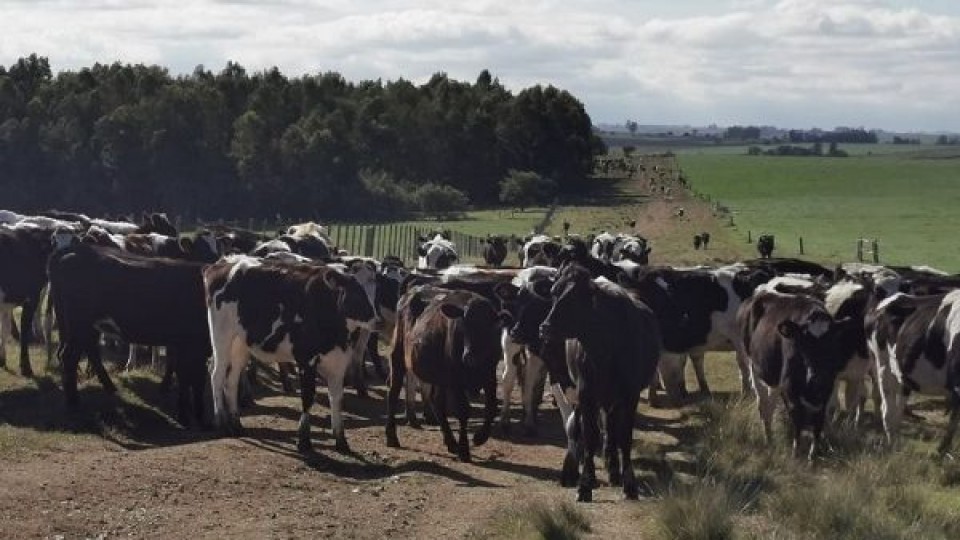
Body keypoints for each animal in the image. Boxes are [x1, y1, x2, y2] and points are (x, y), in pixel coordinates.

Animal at [204, 255, 376, 454]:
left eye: (375, 291)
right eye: (356, 294)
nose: (377, 321)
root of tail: (225, 262)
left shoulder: (339, 361)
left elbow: (336, 398)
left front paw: (341, 441)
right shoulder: (306, 360)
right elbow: (308, 397)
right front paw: (304, 440)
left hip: (240, 343)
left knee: (231, 380)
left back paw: (236, 423)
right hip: (222, 336)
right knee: (217, 375)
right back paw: (221, 421)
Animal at [382, 284, 506, 462]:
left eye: (486, 329)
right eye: (464, 325)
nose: (469, 356)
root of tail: (410, 292)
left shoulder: (489, 375)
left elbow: (491, 407)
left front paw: (479, 437)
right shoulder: (455, 378)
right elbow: (462, 410)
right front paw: (464, 450)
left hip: (439, 375)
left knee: (437, 402)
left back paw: (451, 442)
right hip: (398, 355)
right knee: (393, 392)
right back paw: (391, 436)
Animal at [536, 264, 664, 502]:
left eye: (575, 297)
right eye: (554, 292)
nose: (545, 327)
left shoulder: (630, 396)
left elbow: (625, 437)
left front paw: (629, 483)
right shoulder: (586, 394)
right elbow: (589, 436)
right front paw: (585, 484)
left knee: (612, 430)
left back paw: (614, 471)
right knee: (584, 429)